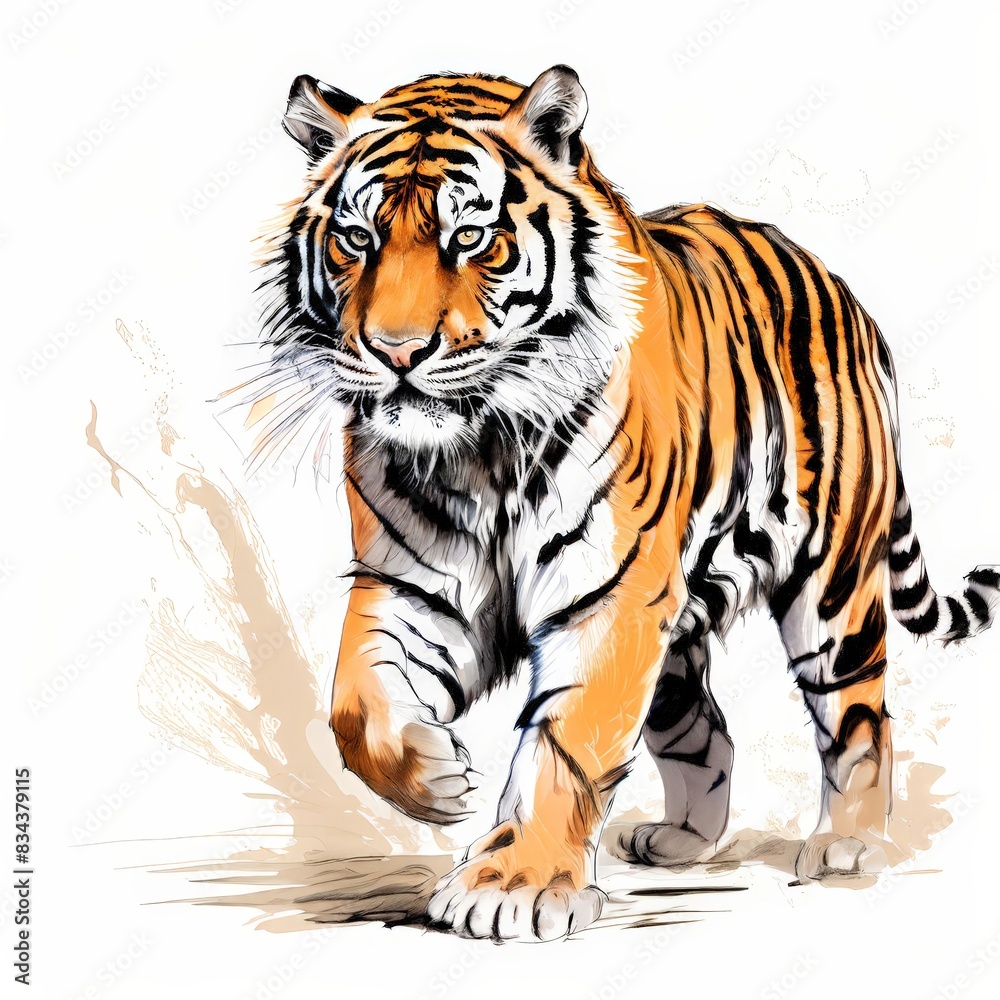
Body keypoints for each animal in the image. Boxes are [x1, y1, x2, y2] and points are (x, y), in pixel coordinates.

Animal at [254, 64, 1000, 941]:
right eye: (358, 239)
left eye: (470, 238)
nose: (395, 352)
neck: (480, 450)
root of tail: (842, 291)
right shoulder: (412, 584)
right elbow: (354, 705)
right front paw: (438, 779)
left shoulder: (608, 600)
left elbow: (566, 744)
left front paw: (512, 886)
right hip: (678, 623)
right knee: (705, 725)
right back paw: (681, 840)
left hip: (831, 588)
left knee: (859, 716)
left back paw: (850, 848)